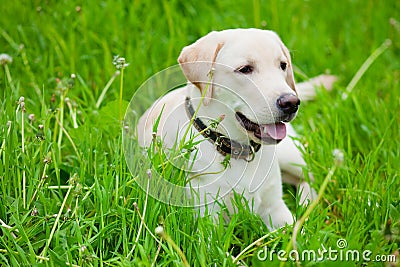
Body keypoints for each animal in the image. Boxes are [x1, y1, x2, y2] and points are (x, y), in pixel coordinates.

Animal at [137, 29, 334, 230]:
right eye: (245, 69)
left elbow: (296, 233)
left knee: (311, 176)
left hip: (290, 156)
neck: (238, 149)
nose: (291, 102)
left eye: (283, 65)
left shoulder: (276, 209)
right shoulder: (208, 218)